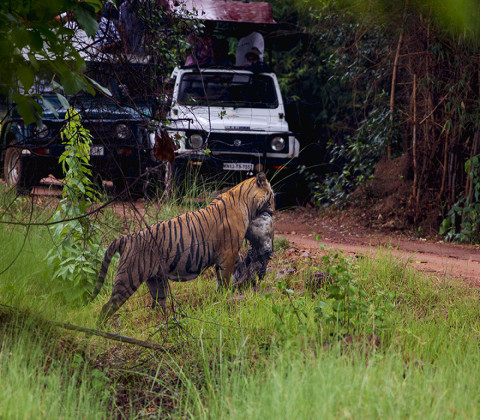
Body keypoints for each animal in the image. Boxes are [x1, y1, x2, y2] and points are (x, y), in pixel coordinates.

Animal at [89, 172, 274, 324]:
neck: (245, 199)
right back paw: (99, 330)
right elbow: (226, 280)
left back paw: (168, 324)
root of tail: (127, 237)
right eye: (271, 196)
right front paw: (224, 299)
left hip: (156, 281)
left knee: (159, 305)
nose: (273, 211)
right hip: (128, 278)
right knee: (107, 306)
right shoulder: (228, 253)